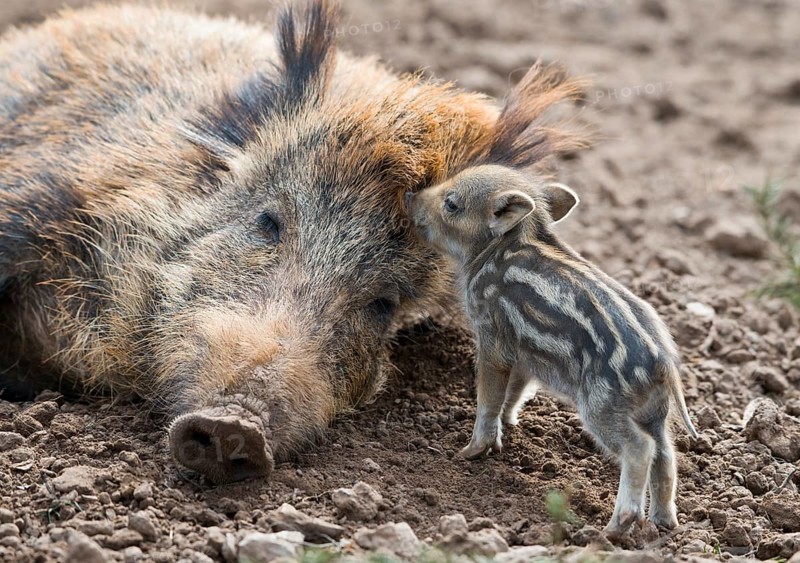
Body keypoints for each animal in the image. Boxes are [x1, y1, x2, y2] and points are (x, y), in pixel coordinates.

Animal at [405, 164, 698, 535]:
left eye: (452, 204)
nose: (409, 196)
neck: (496, 250)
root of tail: (663, 362)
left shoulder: (491, 337)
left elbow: (489, 396)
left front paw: (471, 451)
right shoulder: (524, 356)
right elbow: (513, 392)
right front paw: (507, 429)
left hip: (602, 407)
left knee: (640, 449)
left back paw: (615, 528)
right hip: (654, 412)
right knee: (666, 455)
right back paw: (664, 523)